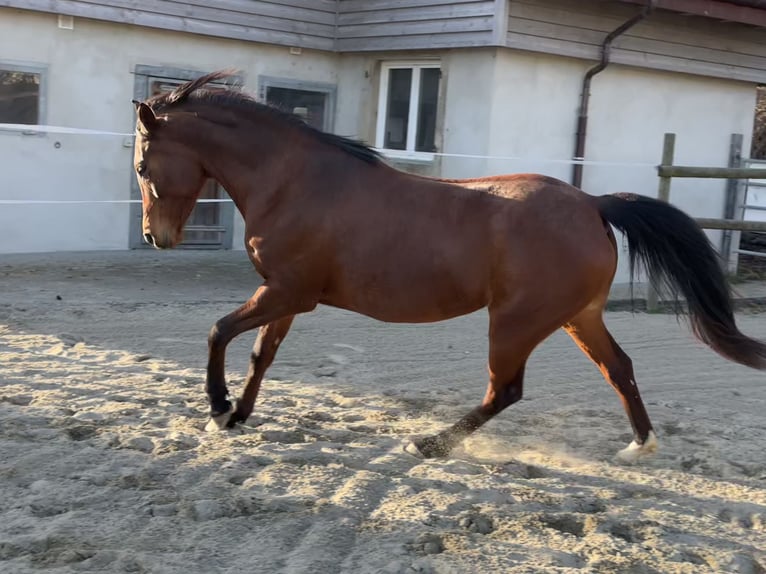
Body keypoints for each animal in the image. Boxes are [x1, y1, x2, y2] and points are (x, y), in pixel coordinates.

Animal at [131, 70, 766, 462]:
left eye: (141, 166)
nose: (155, 238)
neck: (295, 181)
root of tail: (593, 203)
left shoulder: (288, 291)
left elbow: (219, 332)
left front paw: (218, 408)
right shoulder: (283, 295)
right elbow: (261, 355)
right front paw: (238, 415)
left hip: (514, 323)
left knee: (505, 390)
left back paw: (430, 444)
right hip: (578, 316)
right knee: (620, 369)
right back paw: (640, 446)